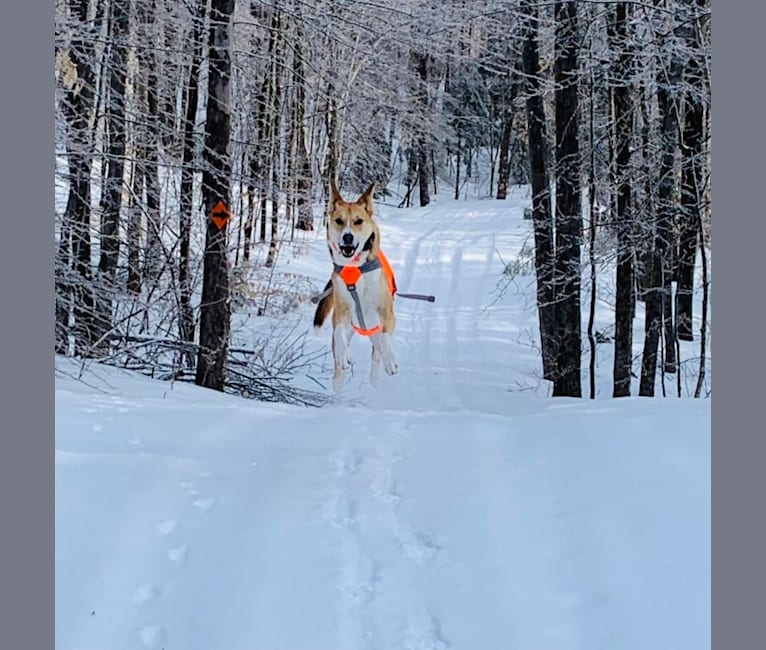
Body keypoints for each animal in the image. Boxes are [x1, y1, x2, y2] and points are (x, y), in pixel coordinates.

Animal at [312, 180, 400, 388]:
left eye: (358, 221)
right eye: (339, 221)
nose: (348, 237)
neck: (355, 268)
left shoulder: (387, 313)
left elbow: (386, 336)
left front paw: (390, 361)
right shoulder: (342, 309)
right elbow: (338, 330)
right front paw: (344, 354)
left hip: (375, 328)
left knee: (377, 350)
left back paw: (376, 378)